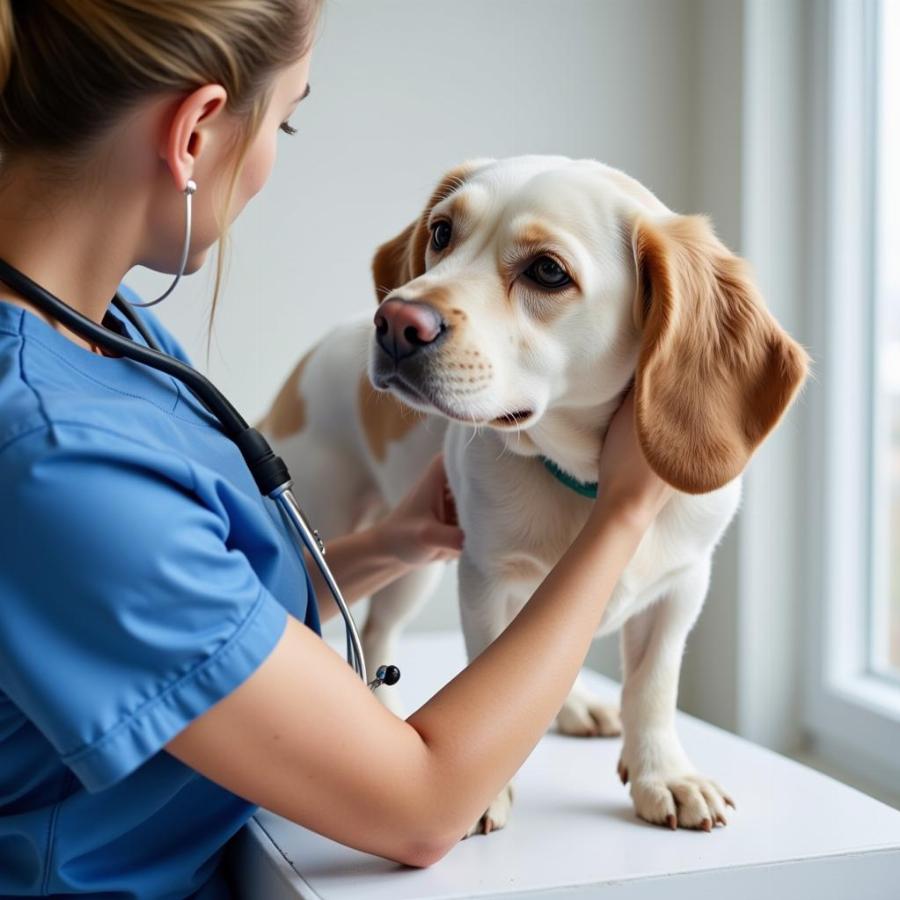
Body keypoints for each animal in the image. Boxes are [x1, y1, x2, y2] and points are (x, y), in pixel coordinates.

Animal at [255, 155, 808, 836]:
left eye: (548, 270)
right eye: (442, 233)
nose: (395, 321)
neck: (583, 480)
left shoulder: (681, 586)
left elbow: (653, 687)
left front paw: (663, 774)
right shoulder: (485, 578)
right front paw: (486, 794)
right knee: (378, 633)